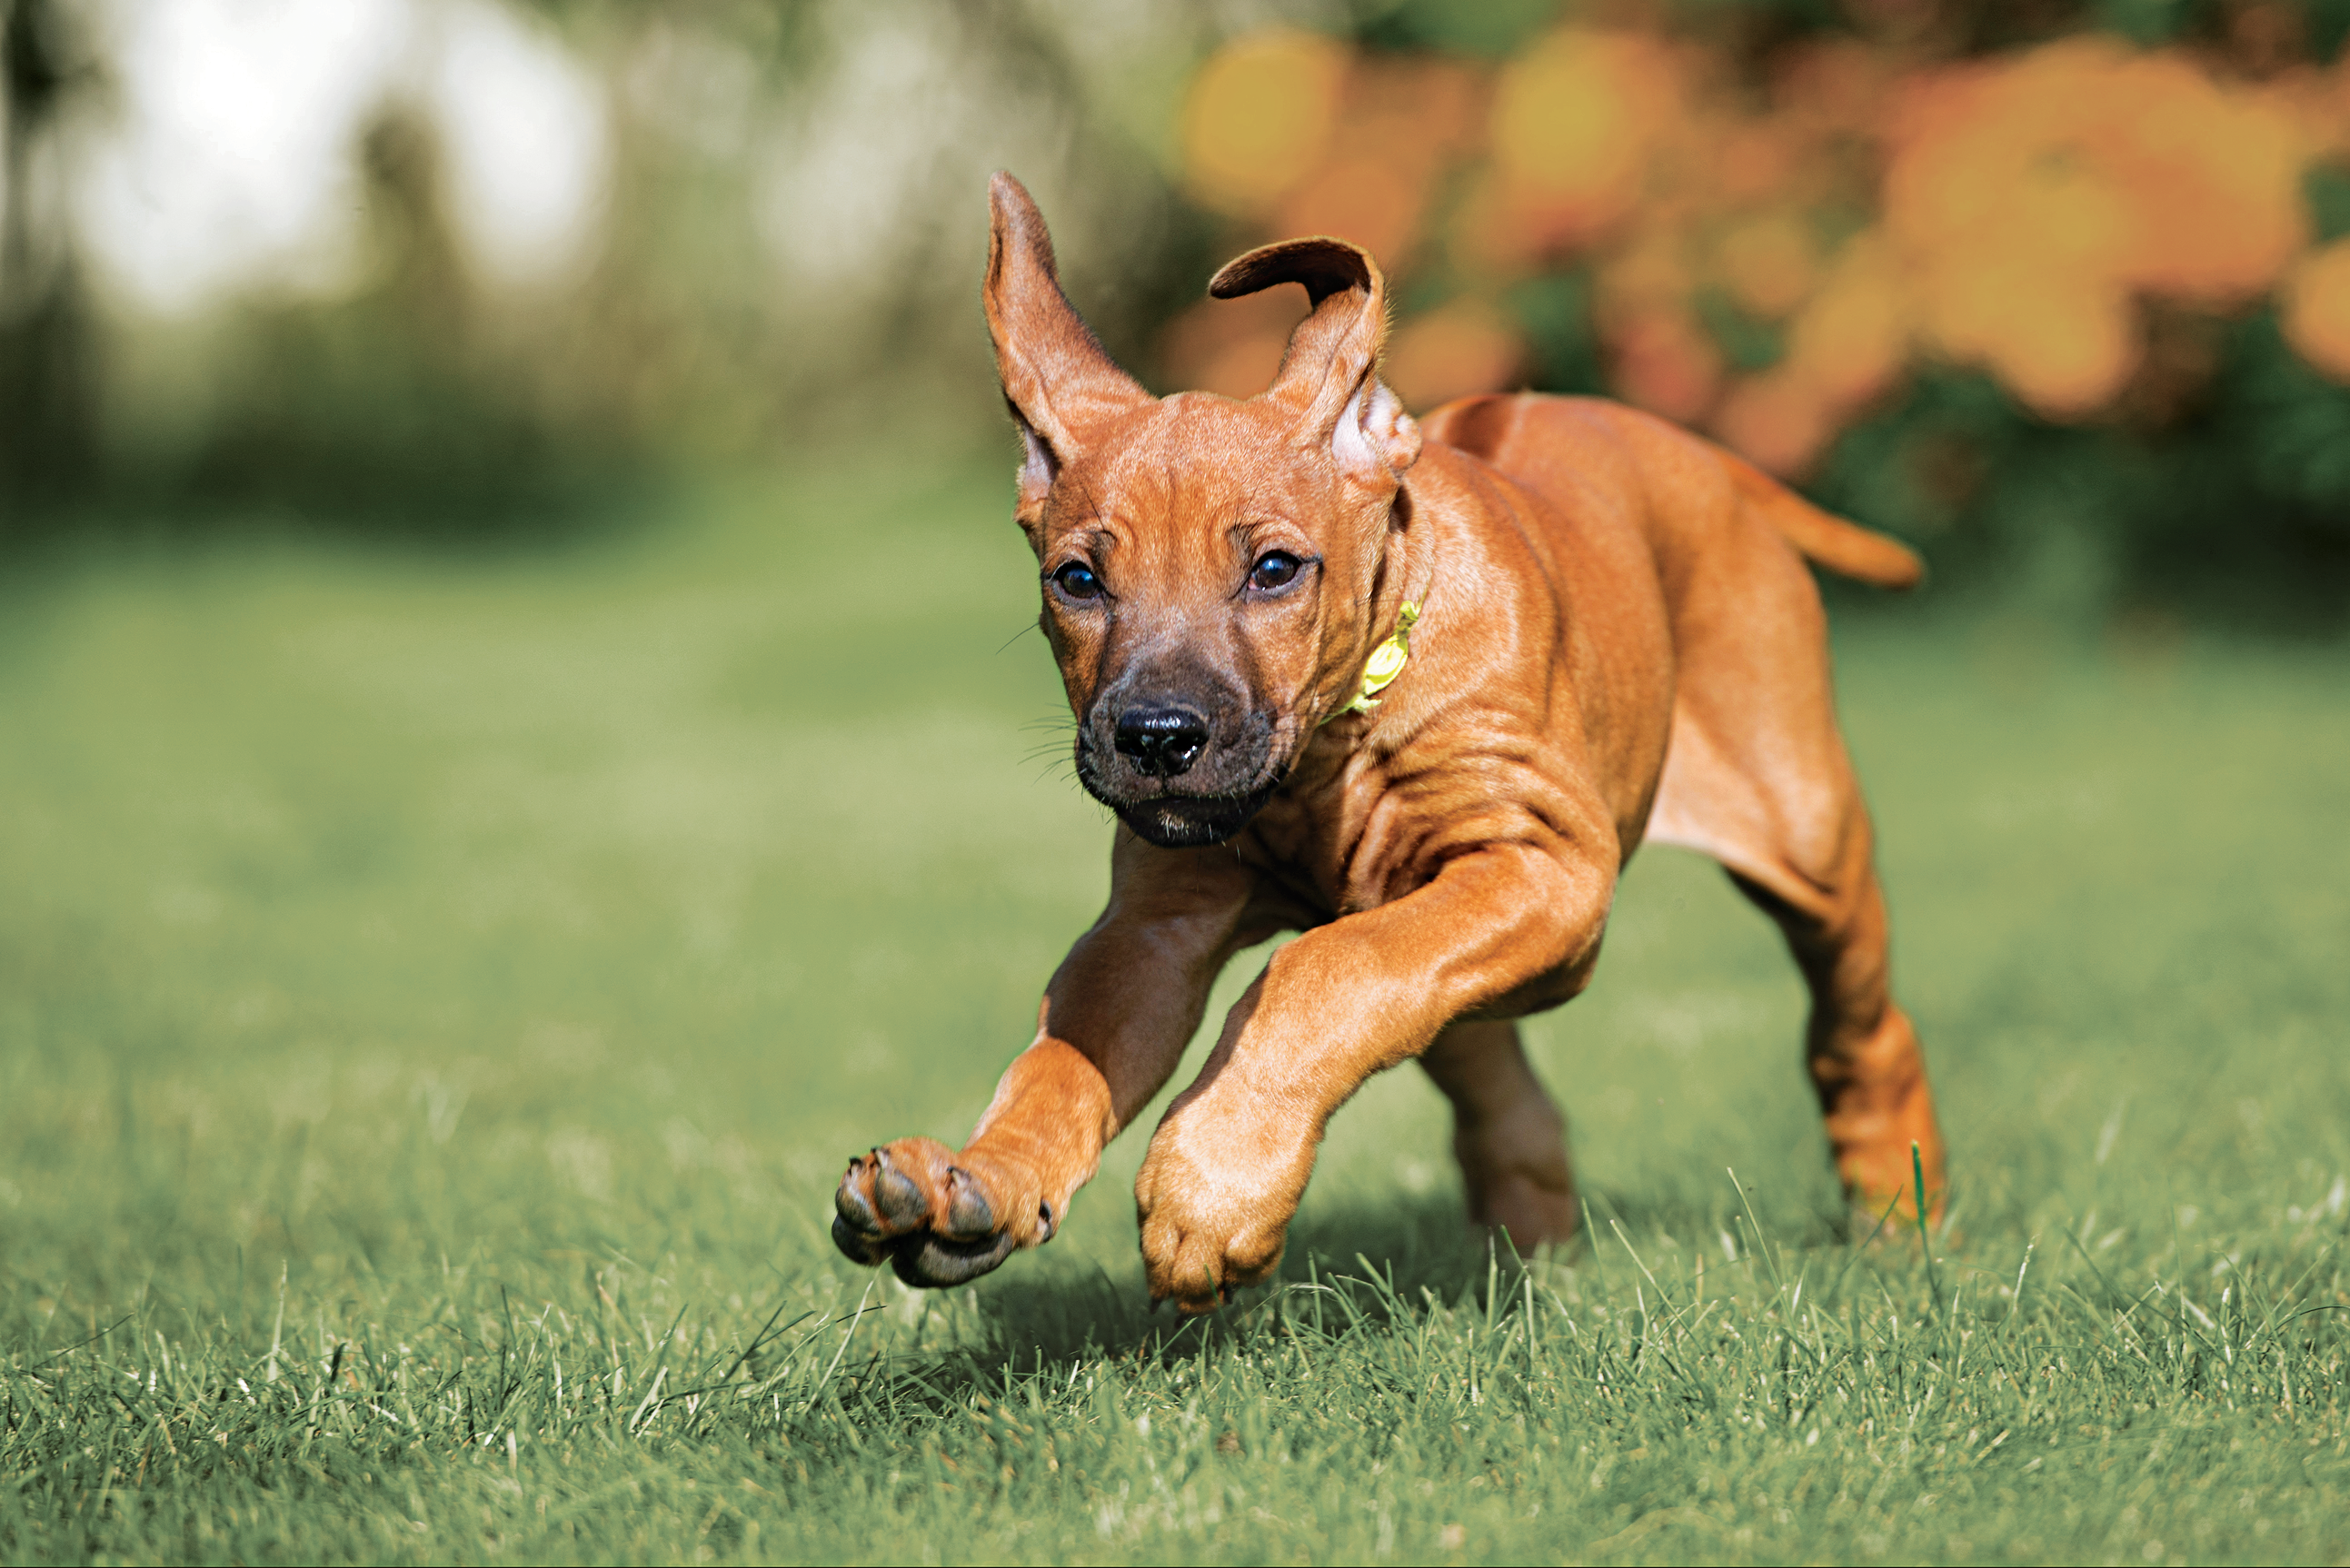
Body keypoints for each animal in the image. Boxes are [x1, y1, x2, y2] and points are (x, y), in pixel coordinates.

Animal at [836, 174, 1936, 1316]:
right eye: (1078, 581)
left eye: (1275, 569)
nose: (1156, 738)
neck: (1329, 755)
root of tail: (1690, 452)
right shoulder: (1156, 923)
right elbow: (1065, 1057)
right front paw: (981, 1180)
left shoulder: (1544, 866)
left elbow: (1326, 966)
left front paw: (1211, 1184)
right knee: (1499, 1081)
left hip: (1808, 837)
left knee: (1861, 1033)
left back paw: (1898, 1224)